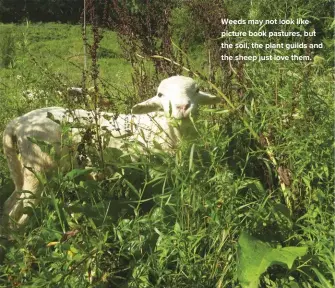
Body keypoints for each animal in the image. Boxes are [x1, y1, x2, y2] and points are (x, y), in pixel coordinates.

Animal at [1, 75, 222, 231]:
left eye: (197, 90)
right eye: (160, 95)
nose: (182, 107)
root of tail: (17, 123)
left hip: (24, 170)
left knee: (9, 206)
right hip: (39, 169)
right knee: (20, 211)